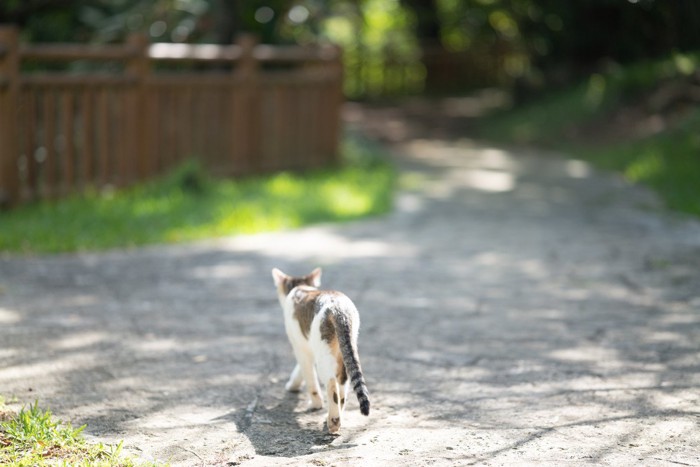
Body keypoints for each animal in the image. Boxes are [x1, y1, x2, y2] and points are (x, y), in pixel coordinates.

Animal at [272, 266, 372, 436]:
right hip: (344, 349)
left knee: (331, 384)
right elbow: (300, 369)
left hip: (324, 350)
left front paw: (315, 403)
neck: (302, 287)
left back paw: (333, 421)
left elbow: (309, 376)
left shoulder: (300, 346)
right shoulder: (307, 345)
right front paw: (294, 383)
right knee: (343, 384)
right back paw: (335, 417)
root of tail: (339, 309)